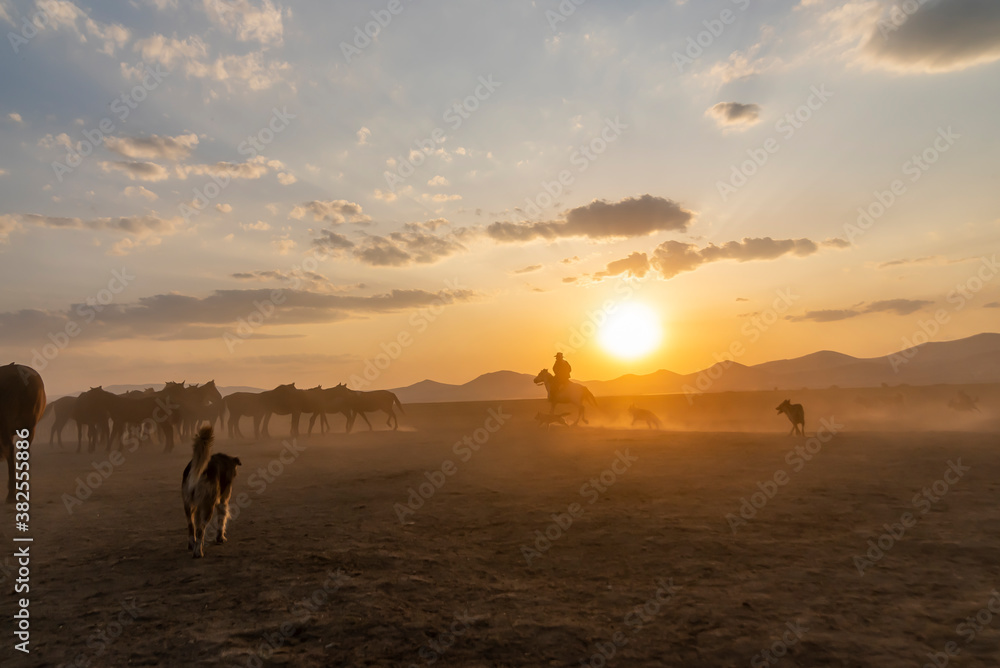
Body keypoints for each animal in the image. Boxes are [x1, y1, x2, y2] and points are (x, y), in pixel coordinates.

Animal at [0, 363, 46, 503]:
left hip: (6, 425)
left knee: (10, 450)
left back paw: (11, 493)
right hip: (30, 428)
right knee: (23, 452)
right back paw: (20, 491)